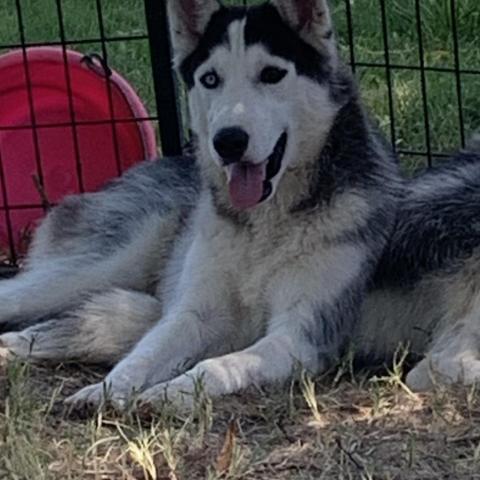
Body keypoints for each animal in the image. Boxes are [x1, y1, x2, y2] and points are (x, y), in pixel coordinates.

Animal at [0, 0, 480, 408]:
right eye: (210, 79)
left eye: (272, 74)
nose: (228, 141)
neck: (263, 228)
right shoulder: (191, 315)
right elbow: (144, 356)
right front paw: (106, 391)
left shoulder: (299, 335)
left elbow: (217, 366)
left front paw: (166, 394)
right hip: (90, 270)